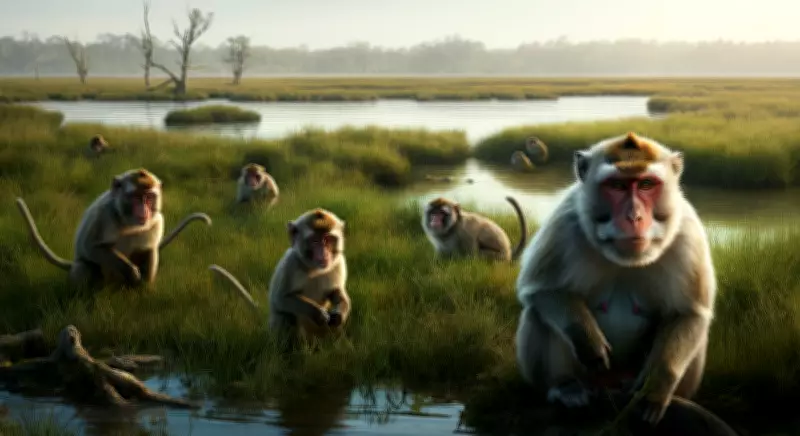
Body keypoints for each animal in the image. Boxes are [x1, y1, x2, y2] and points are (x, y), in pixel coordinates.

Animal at [15, 168, 213, 289]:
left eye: (149, 197)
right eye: (136, 197)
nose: (144, 211)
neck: (128, 221)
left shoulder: (157, 220)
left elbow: (150, 249)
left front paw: (144, 286)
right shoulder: (102, 215)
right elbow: (91, 247)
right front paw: (131, 271)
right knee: (83, 267)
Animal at [209, 208, 350, 342]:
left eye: (327, 239)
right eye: (314, 241)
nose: (323, 254)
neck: (314, 269)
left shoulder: (339, 264)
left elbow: (336, 293)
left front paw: (339, 314)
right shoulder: (290, 264)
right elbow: (281, 298)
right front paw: (317, 313)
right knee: (286, 317)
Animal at [514, 132, 717, 426]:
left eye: (646, 184)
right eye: (617, 186)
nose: (634, 217)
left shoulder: (688, 233)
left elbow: (688, 313)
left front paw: (655, 389)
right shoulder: (564, 222)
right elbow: (542, 290)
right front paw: (588, 341)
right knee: (537, 312)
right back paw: (566, 387)